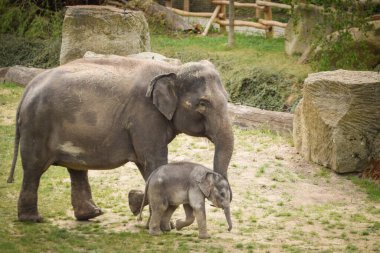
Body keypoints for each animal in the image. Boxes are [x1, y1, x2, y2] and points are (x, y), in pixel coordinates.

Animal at [8, 55, 235, 221]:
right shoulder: (145, 117)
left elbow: (149, 166)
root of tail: (28, 88)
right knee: (34, 168)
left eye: (227, 99)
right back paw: (33, 219)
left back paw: (91, 214)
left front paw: (134, 203)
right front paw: (153, 217)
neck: (171, 69)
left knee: (76, 169)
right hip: (37, 126)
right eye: (203, 104)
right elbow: (153, 162)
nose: (216, 200)